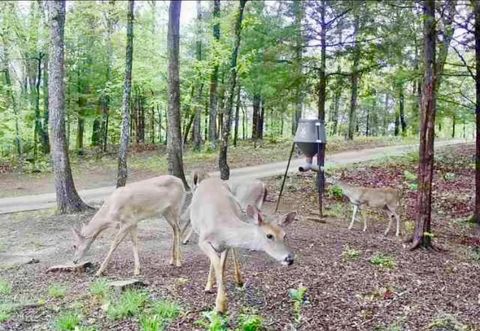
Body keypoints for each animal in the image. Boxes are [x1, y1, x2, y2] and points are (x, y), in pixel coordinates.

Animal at [188, 178, 294, 312]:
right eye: (269, 235)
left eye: (284, 235)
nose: (289, 258)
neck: (222, 229)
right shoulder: (202, 240)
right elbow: (217, 263)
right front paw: (220, 305)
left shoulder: (226, 244)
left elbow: (222, 264)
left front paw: (222, 300)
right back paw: (208, 286)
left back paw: (238, 279)